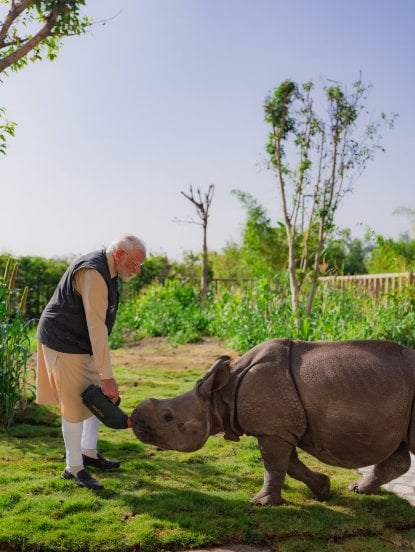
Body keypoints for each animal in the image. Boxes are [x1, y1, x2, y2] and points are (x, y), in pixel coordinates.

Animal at [131, 336, 415, 504]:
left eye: (168, 417)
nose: (133, 421)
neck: (221, 395)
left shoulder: (273, 430)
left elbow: (274, 466)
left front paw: (261, 503)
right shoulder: (280, 428)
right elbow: (289, 464)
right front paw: (323, 489)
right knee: (397, 448)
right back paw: (358, 489)